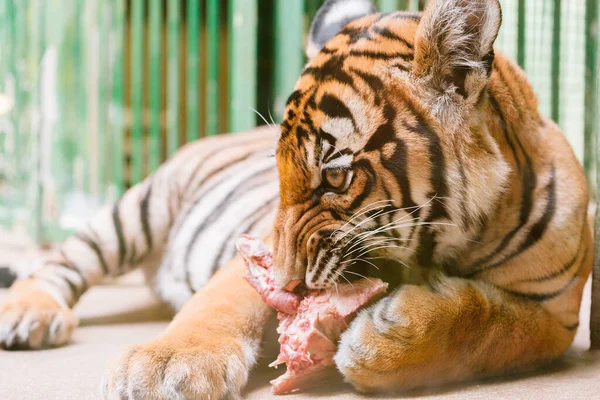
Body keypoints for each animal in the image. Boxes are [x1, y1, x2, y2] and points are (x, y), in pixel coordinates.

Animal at [0, 0, 592, 398]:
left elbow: (495, 325)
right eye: (280, 174)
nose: (284, 284)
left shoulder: (557, 315)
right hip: (137, 210)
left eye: (335, 177)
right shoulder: (257, 243)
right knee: (63, 262)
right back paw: (28, 315)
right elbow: (219, 303)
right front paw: (163, 368)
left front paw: (390, 337)